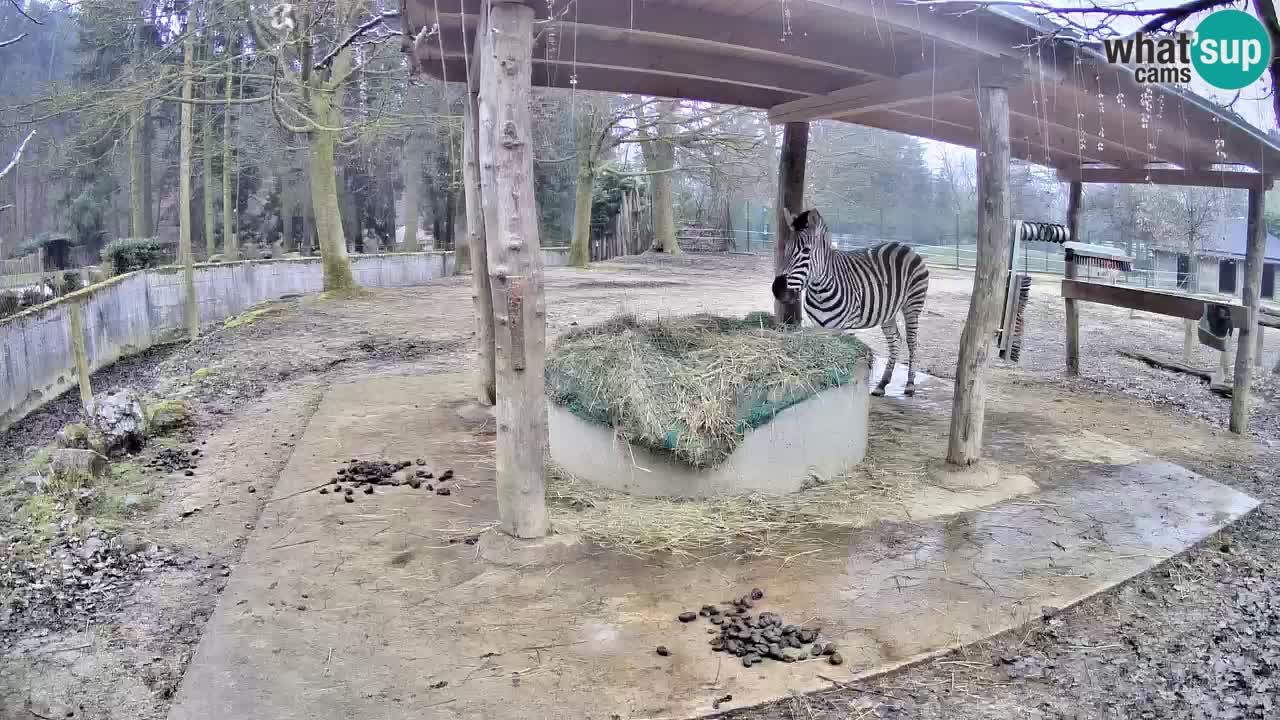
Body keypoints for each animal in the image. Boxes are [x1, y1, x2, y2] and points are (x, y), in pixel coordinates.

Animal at [768, 207, 931, 397]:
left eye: (806, 251)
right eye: (785, 249)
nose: (778, 290)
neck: (819, 289)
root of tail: (904, 246)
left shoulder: (843, 327)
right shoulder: (819, 327)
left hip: (912, 304)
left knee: (912, 342)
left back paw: (910, 385)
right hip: (887, 310)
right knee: (895, 340)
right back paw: (882, 384)